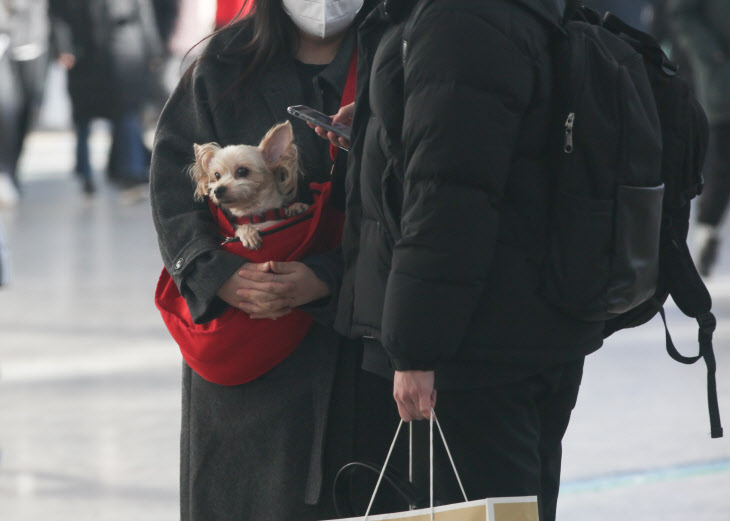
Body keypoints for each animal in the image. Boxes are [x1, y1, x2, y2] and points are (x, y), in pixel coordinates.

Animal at [189, 123, 306, 251]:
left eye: (242, 171)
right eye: (217, 175)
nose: (217, 190)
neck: (256, 217)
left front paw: (296, 206)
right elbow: (241, 228)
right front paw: (249, 233)